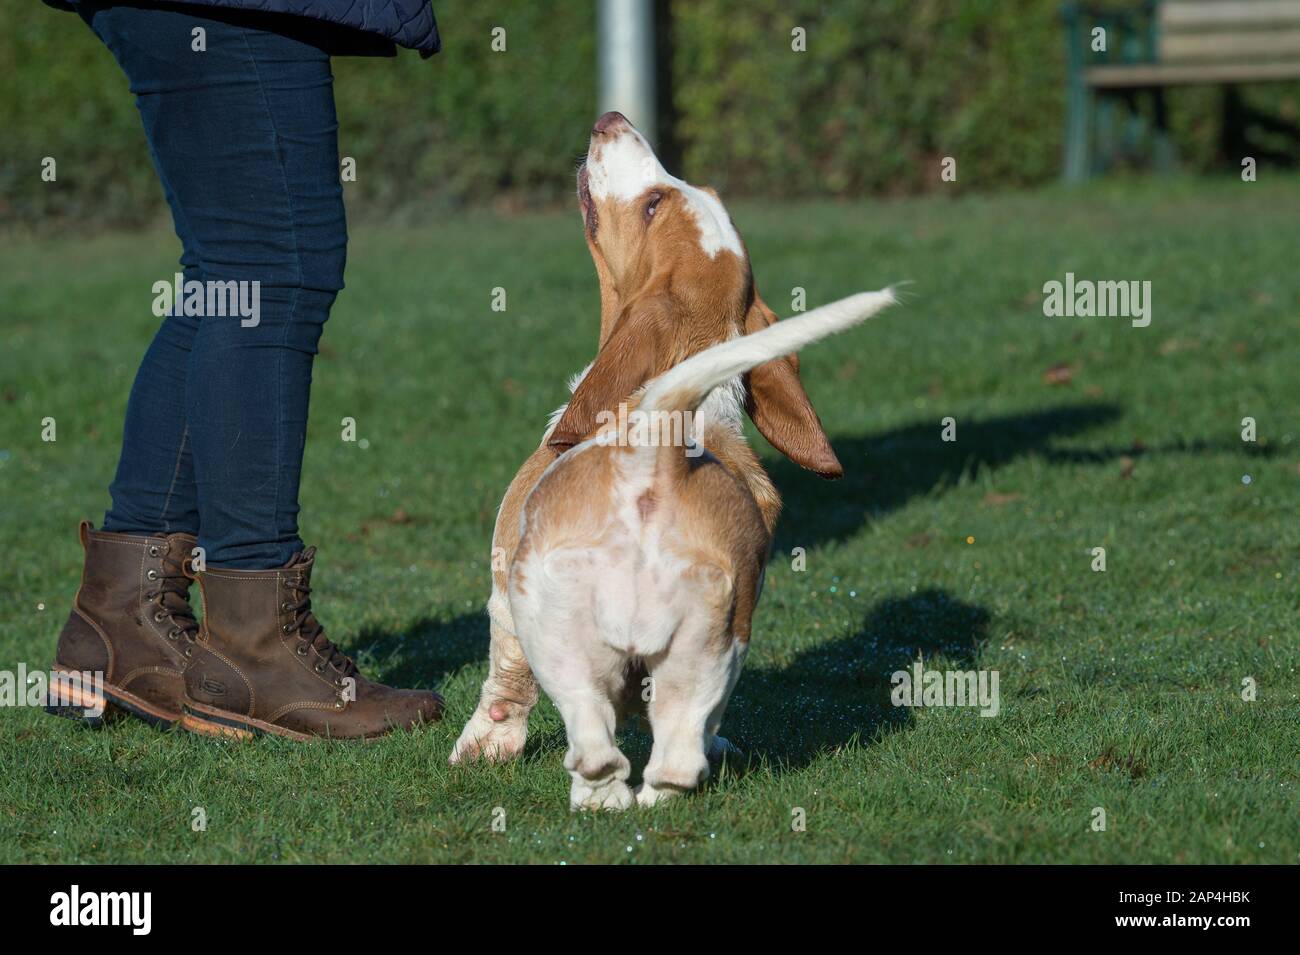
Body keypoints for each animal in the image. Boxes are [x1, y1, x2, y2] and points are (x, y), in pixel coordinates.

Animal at [449, 113, 894, 815]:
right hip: (710, 645)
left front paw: (485, 742)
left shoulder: (504, 585)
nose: (612, 120)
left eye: (654, 204)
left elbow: (505, 668)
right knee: (677, 750)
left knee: (592, 742)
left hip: (560, 624)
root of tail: (651, 461)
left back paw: (595, 800)